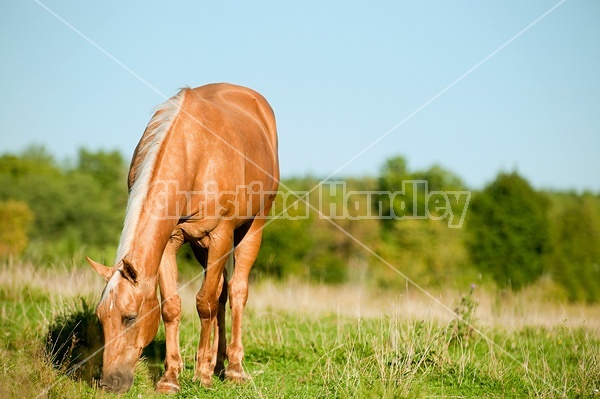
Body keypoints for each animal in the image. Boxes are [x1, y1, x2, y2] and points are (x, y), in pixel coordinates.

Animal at [85, 83, 280, 394]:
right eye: (101, 317)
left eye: (130, 317)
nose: (109, 383)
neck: (192, 153)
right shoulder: (170, 240)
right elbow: (173, 306)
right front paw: (170, 378)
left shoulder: (220, 234)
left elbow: (204, 303)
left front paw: (201, 376)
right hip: (202, 247)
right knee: (221, 292)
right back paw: (218, 364)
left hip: (252, 228)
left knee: (236, 291)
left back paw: (234, 369)